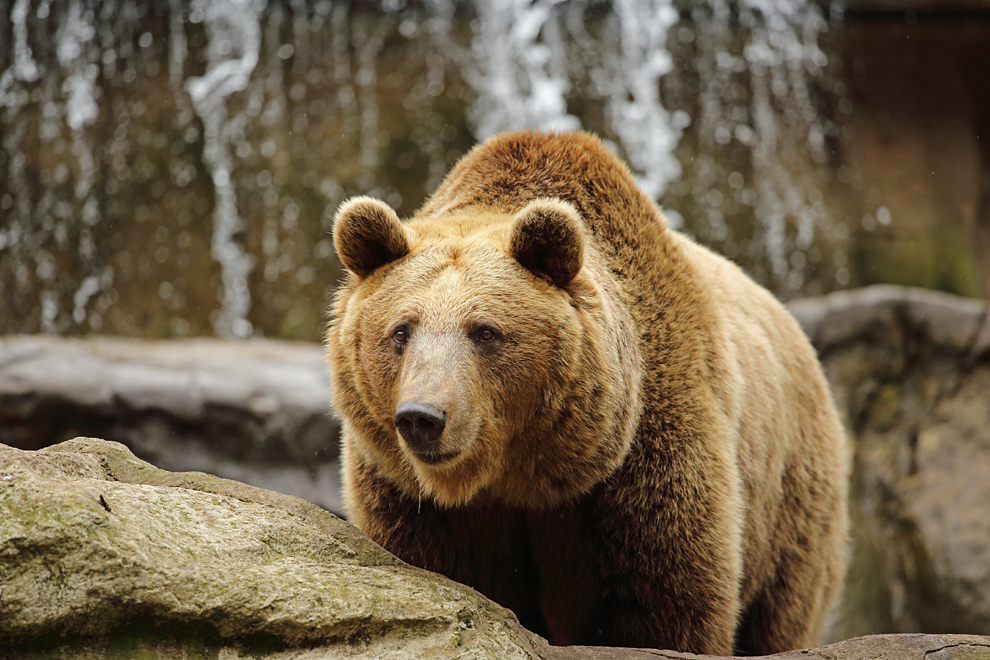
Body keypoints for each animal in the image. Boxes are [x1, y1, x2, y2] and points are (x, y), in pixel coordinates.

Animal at [328, 130, 852, 656]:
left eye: (485, 331)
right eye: (401, 331)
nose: (423, 416)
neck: (520, 476)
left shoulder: (645, 459)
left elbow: (663, 602)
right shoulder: (408, 495)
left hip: (789, 501)